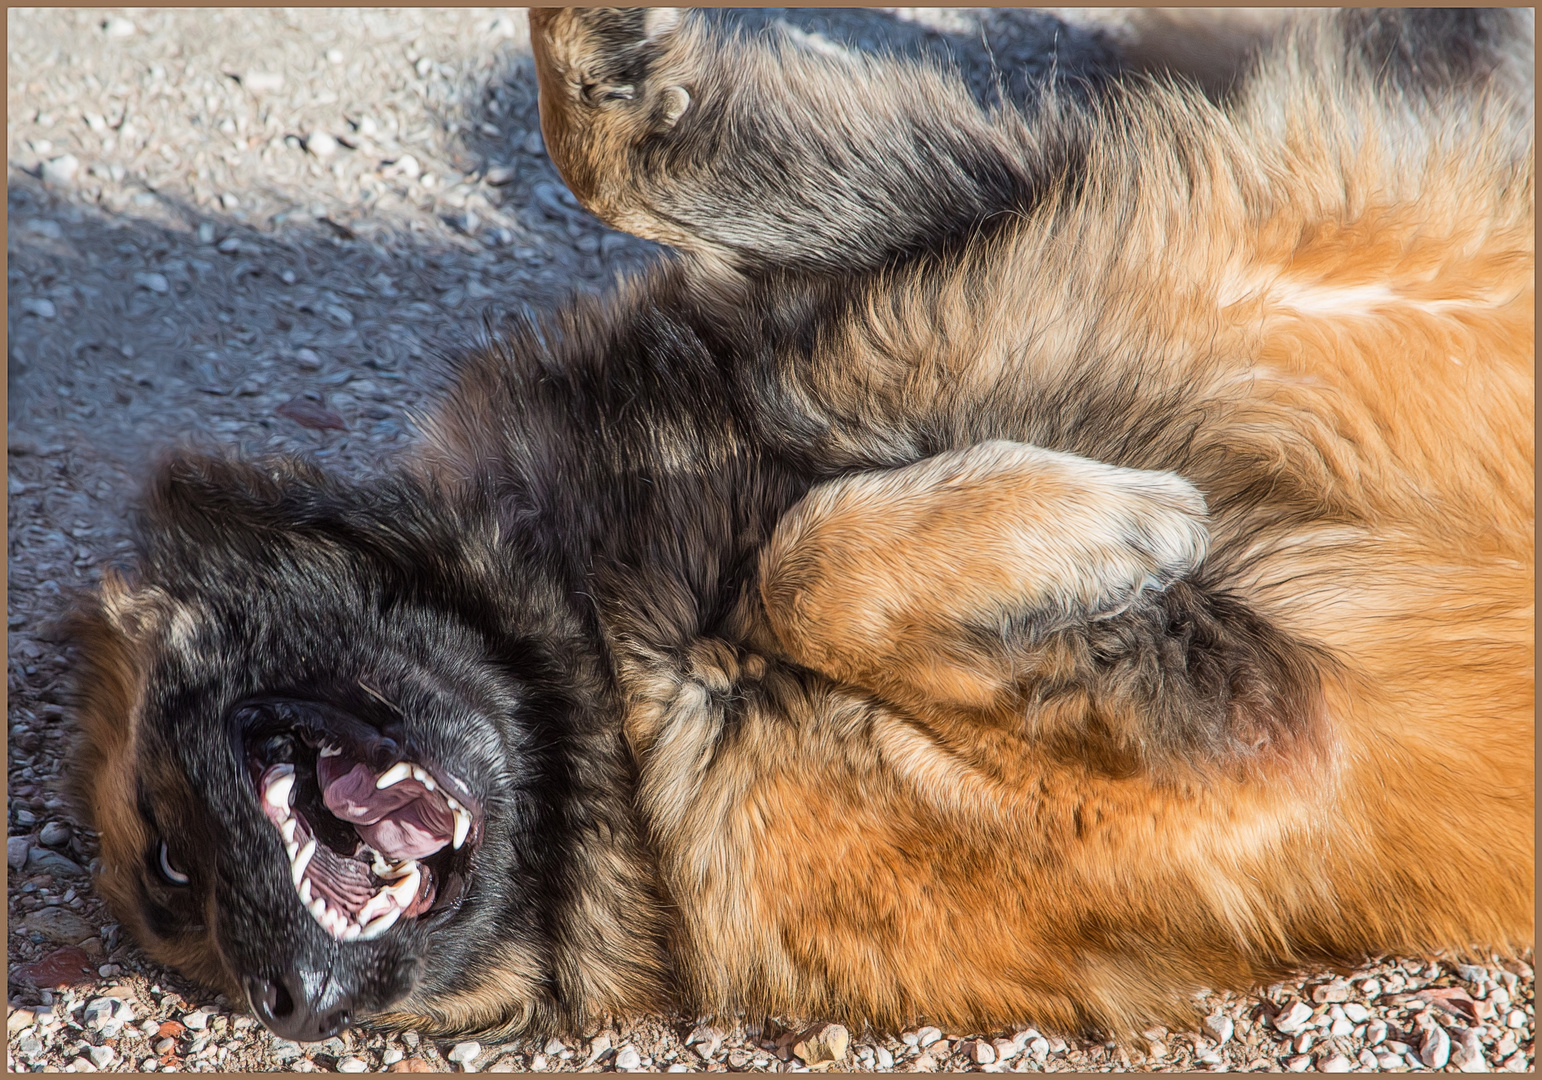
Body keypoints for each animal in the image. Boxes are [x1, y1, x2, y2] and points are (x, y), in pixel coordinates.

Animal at [63, 4, 1529, 1042]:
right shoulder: (1258, 745)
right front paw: (1109, 523)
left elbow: (606, 151)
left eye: (169, 860)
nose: (288, 1004)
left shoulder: (932, 218)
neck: (602, 661)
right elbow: (807, 567)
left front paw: (610, 57)